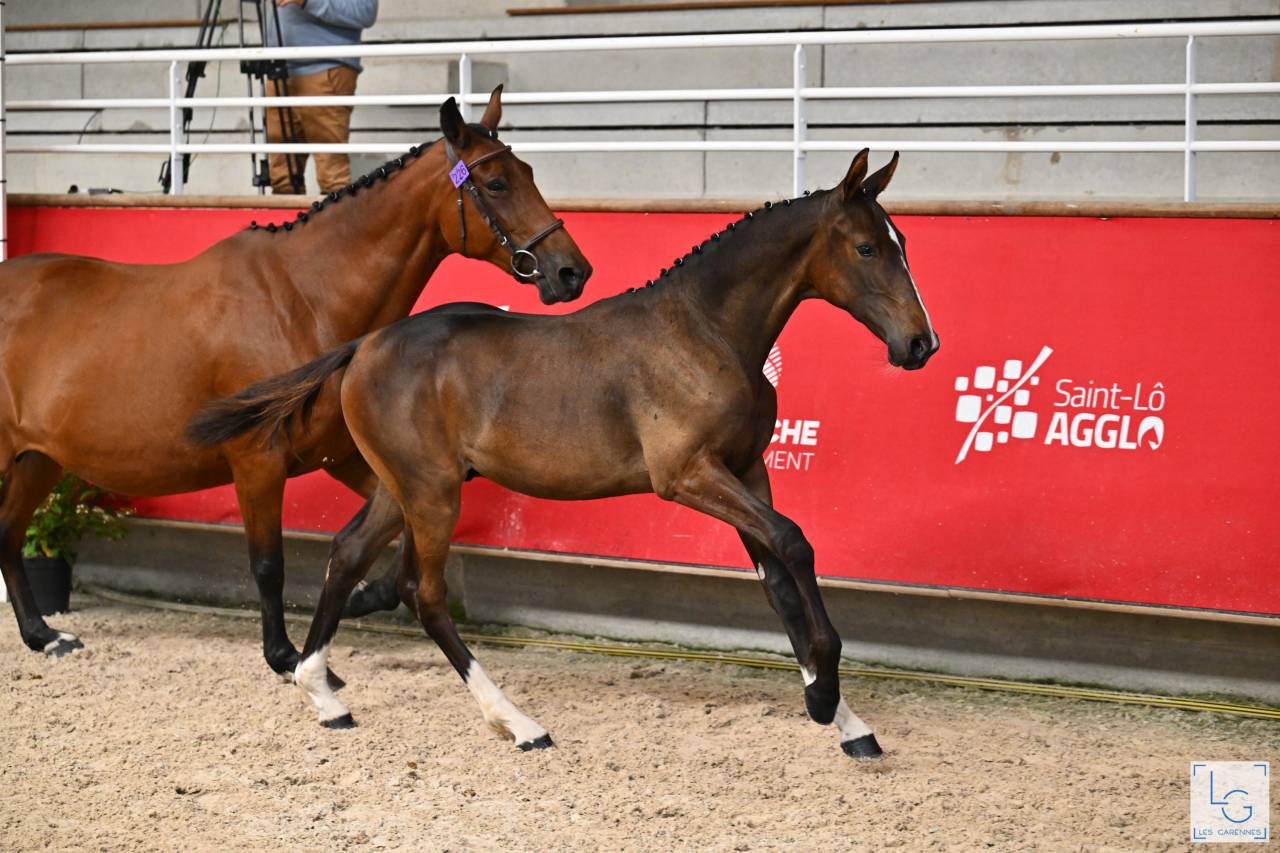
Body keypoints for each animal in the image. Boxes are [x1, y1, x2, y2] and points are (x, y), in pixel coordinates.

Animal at [0, 88, 591, 683]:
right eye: (495, 184)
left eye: (528, 172)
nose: (572, 272)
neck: (303, 298)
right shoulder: (257, 461)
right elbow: (268, 564)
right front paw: (285, 655)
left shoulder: (343, 456)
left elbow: (391, 534)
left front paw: (361, 597)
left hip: (40, 458)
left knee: (8, 527)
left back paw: (43, 635)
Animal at [188, 148, 938, 758]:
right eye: (867, 248)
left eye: (902, 242)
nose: (920, 343)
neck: (705, 331)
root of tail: (362, 345)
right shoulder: (688, 475)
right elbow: (795, 543)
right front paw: (823, 694)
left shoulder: (748, 470)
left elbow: (780, 578)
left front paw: (845, 720)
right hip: (431, 492)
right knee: (421, 592)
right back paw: (519, 723)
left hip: (402, 488)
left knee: (347, 554)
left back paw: (321, 692)